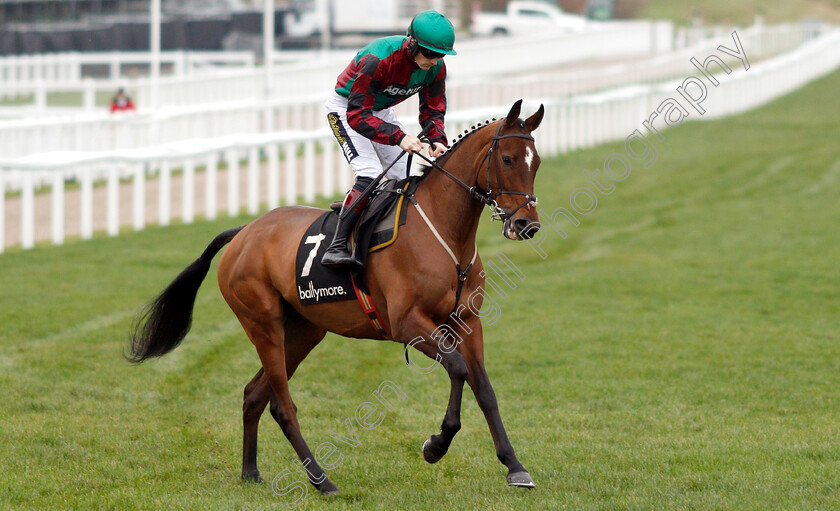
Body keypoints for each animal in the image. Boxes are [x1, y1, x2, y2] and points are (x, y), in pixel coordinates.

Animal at [124, 98, 544, 494]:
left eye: (536, 162)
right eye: (507, 159)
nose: (527, 224)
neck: (443, 232)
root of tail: (243, 232)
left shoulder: (467, 321)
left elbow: (484, 388)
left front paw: (514, 466)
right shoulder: (408, 324)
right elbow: (457, 368)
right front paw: (435, 445)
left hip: (303, 331)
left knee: (254, 394)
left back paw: (250, 472)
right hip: (263, 324)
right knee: (283, 405)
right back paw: (321, 480)